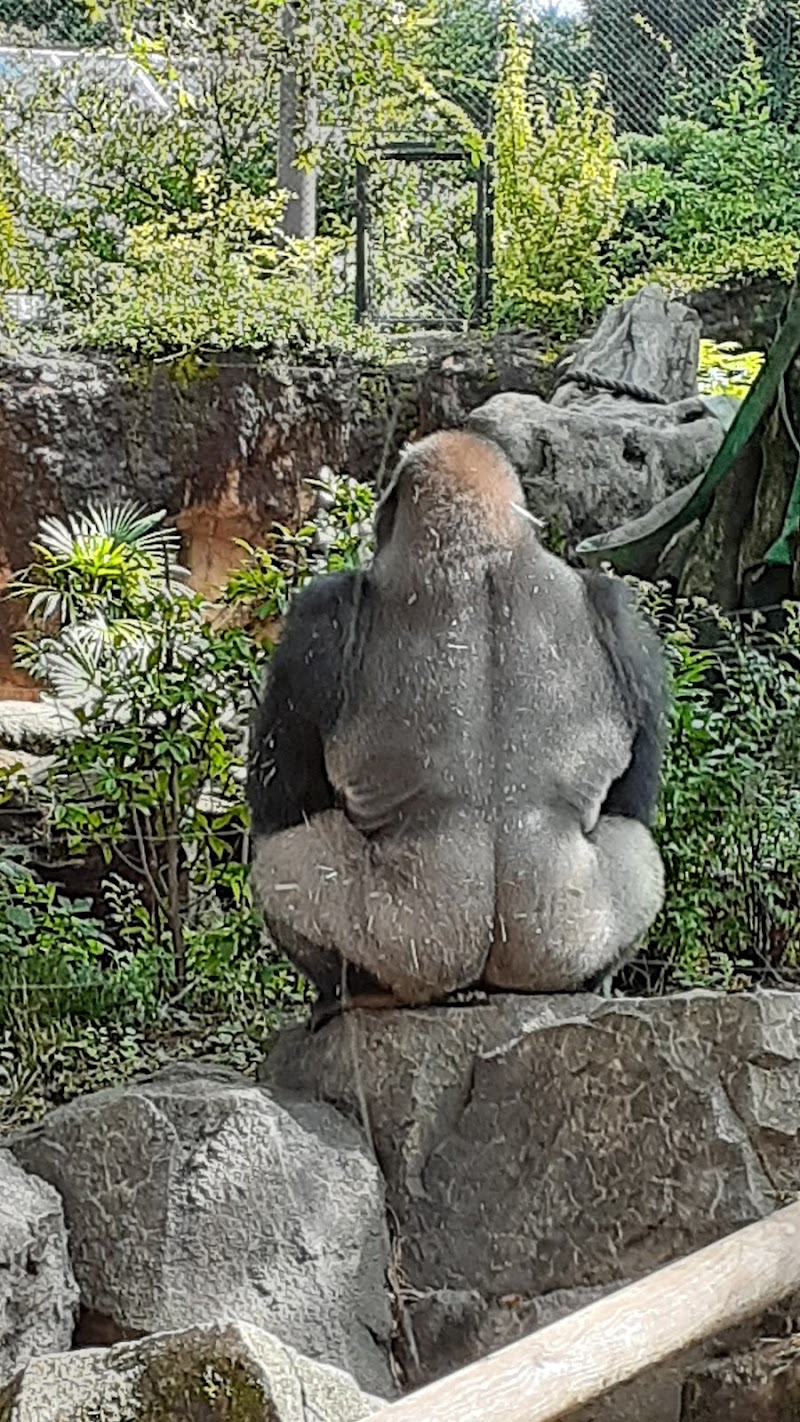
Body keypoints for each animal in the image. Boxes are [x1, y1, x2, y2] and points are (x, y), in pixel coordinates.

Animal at [248, 426, 670, 1018]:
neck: (482, 549)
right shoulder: (618, 610)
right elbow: (632, 793)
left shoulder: (320, 613)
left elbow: (282, 798)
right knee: (635, 841)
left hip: (415, 954)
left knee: (286, 856)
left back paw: (344, 994)